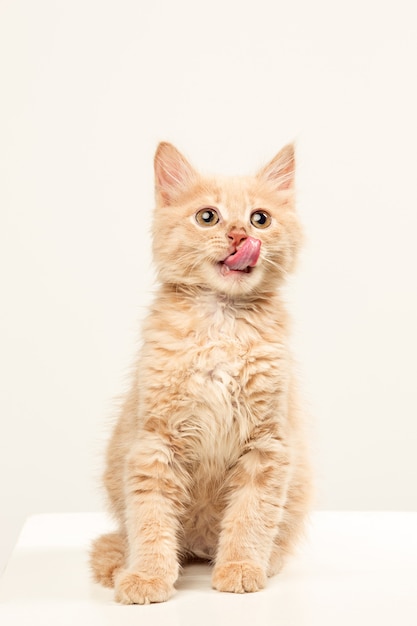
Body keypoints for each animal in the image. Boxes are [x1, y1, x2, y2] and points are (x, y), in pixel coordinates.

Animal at [89, 140, 310, 600]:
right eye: (207, 216)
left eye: (260, 219)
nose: (240, 236)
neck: (222, 321)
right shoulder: (155, 443)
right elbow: (150, 518)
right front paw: (148, 576)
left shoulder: (268, 445)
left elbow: (251, 515)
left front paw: (240, 567)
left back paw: (260, 561)